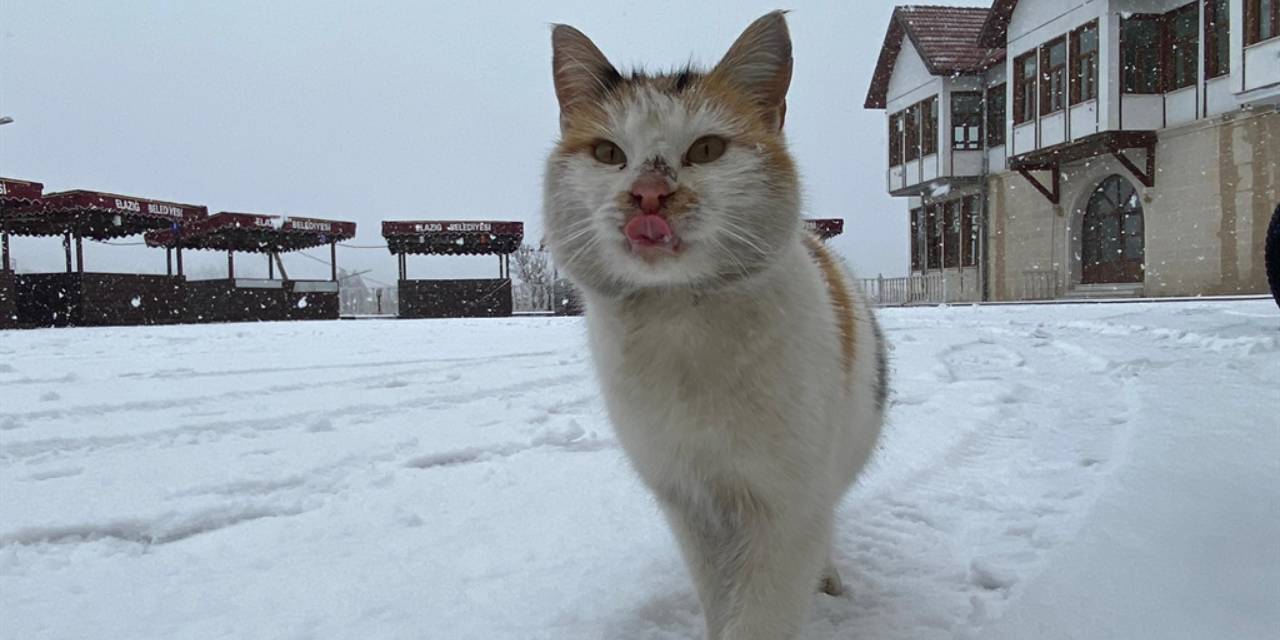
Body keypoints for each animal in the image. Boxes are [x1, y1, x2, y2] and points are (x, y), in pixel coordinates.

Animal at [537, 11, 880, 640]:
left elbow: (763, 612)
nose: (649, 193)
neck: (679, 321)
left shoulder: (784, 506)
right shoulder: (689, 502)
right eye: (607, 152)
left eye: (707, 148)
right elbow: (719, 597)